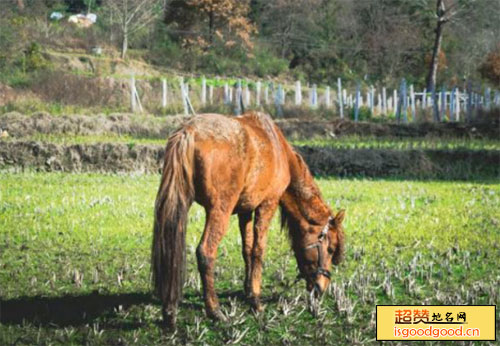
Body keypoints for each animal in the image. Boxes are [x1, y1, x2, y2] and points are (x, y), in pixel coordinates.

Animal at [152, 112, 344, 328]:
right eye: (330, 249)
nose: (322, 287)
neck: (279, 151)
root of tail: (189, 131)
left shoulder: (245, 211)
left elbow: (247, 249)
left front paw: (247, 289)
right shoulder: (267, 205)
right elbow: (258, 250)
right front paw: (255, 300)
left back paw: (169, 310)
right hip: (220, 211)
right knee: (205, 252)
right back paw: (214, 310)